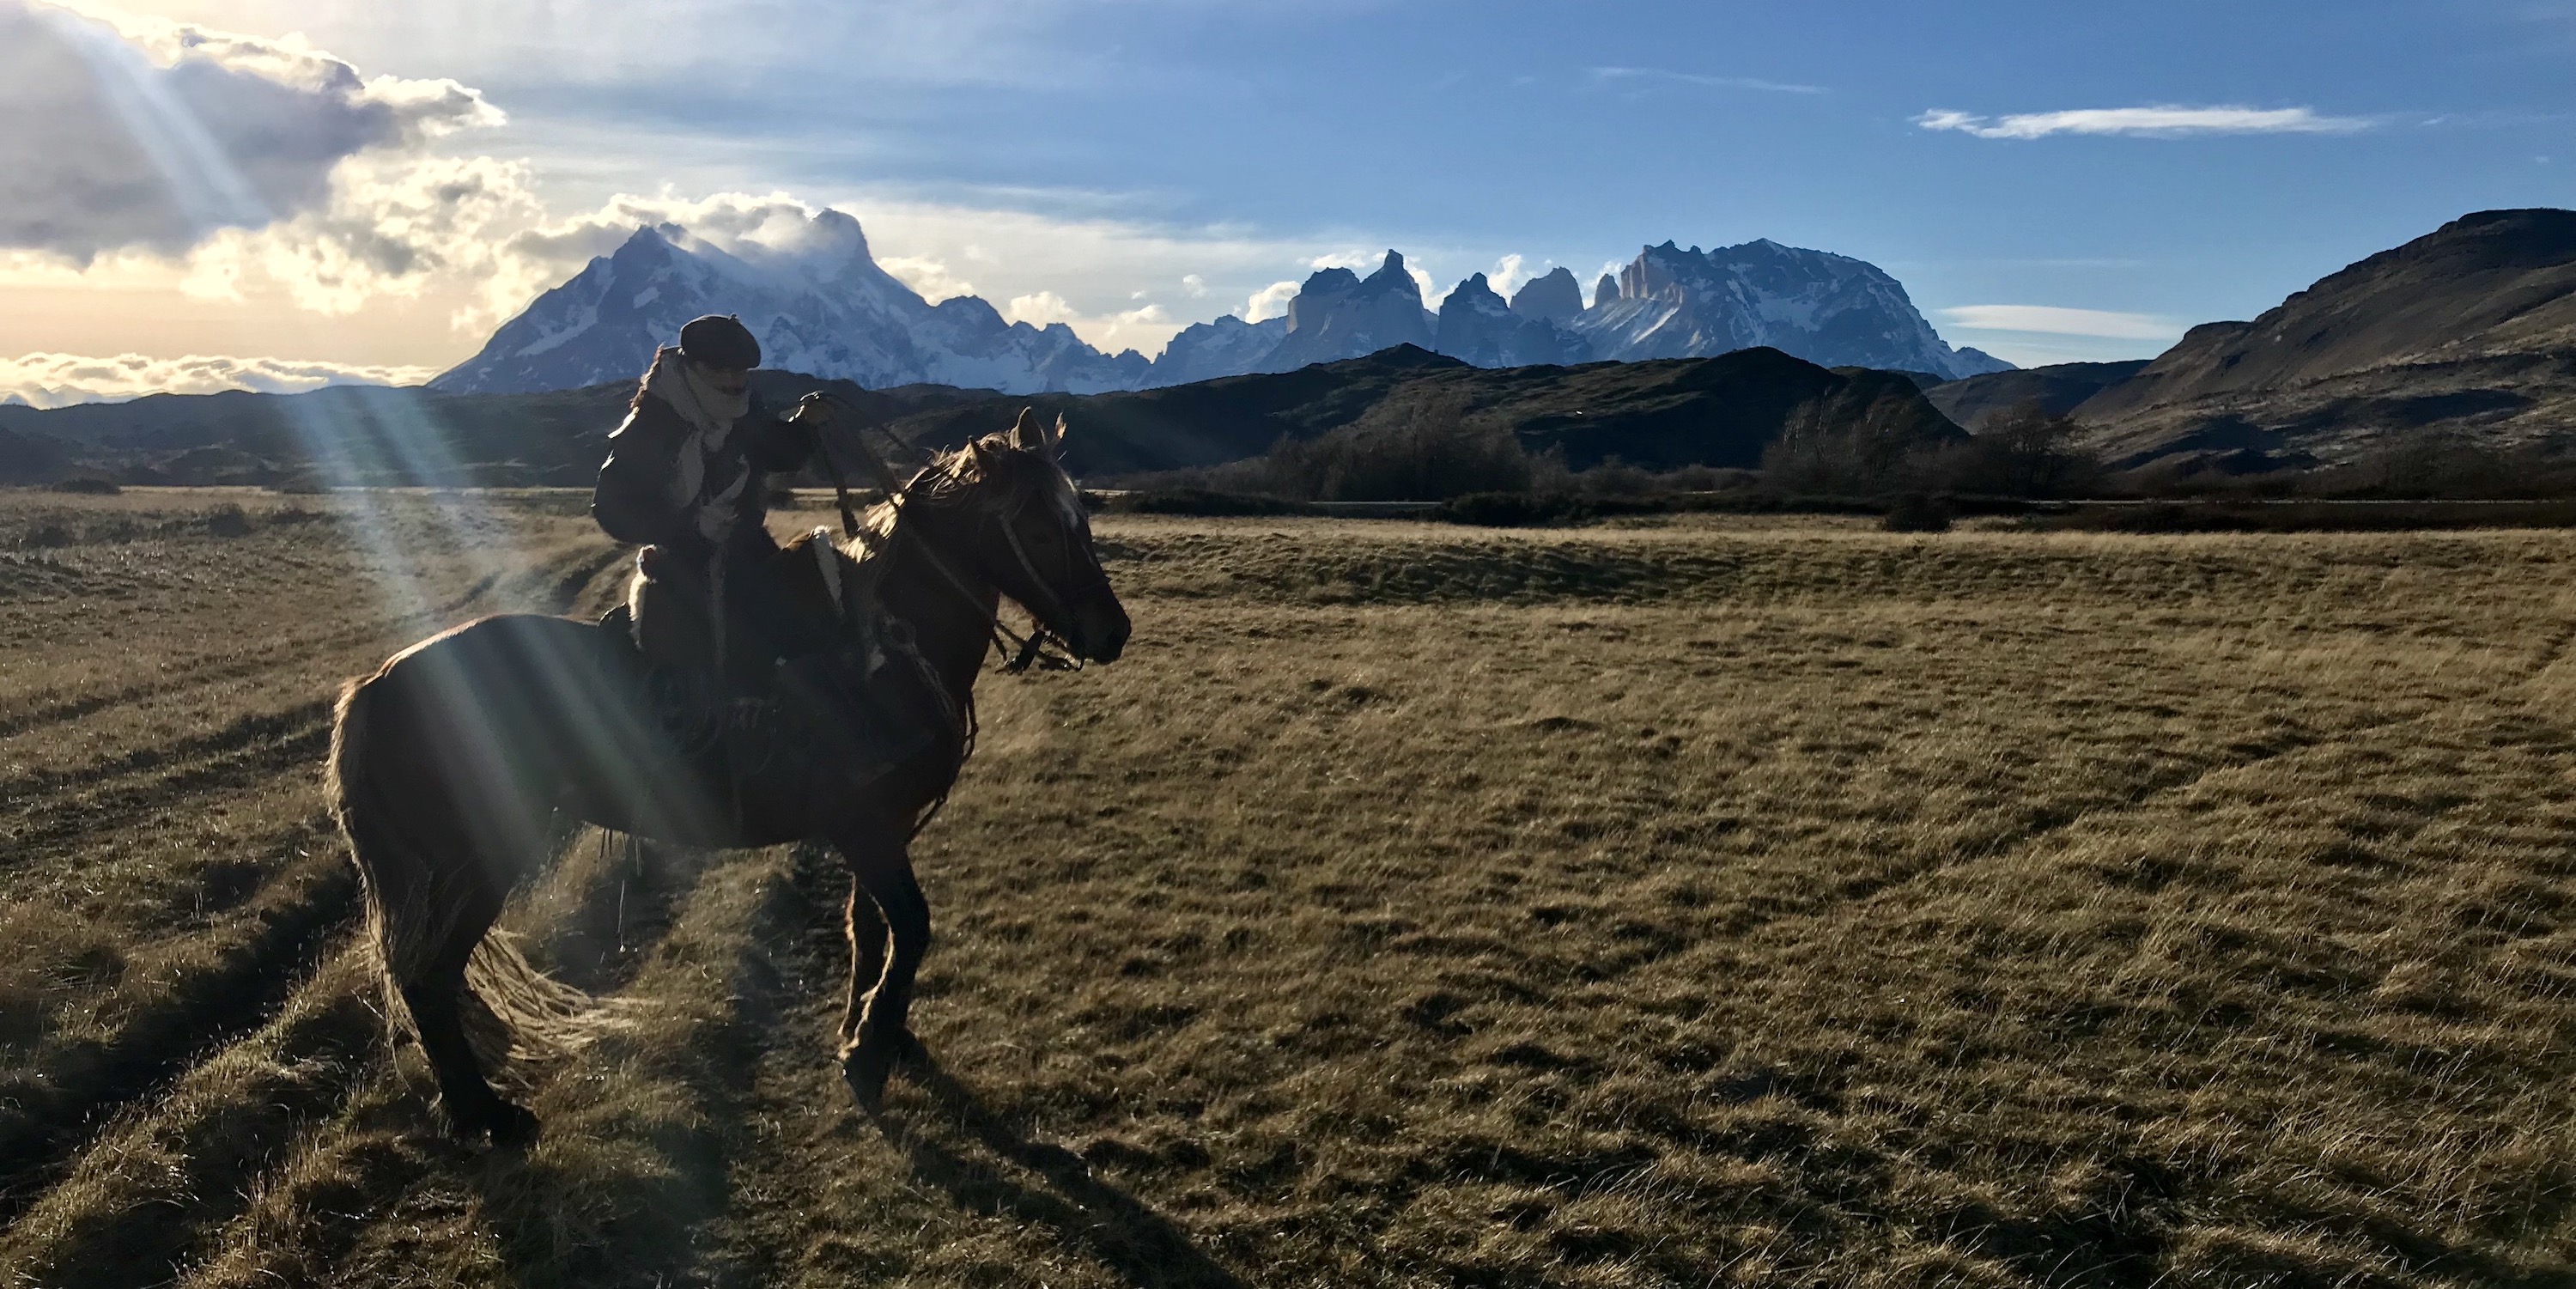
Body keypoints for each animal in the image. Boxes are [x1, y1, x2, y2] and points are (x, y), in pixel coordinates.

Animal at [325, 409, 1129, 1145]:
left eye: (1080, 519)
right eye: (1039, 530)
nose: (1112, 631)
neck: (891, 643)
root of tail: (376, 684)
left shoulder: (884, 824)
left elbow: (871, 925)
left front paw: (875, 1031)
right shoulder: (864, 826)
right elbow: (911, 924)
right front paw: (869, 1050)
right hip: (474, 857)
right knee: (428, 979)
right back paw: (484, 1115)